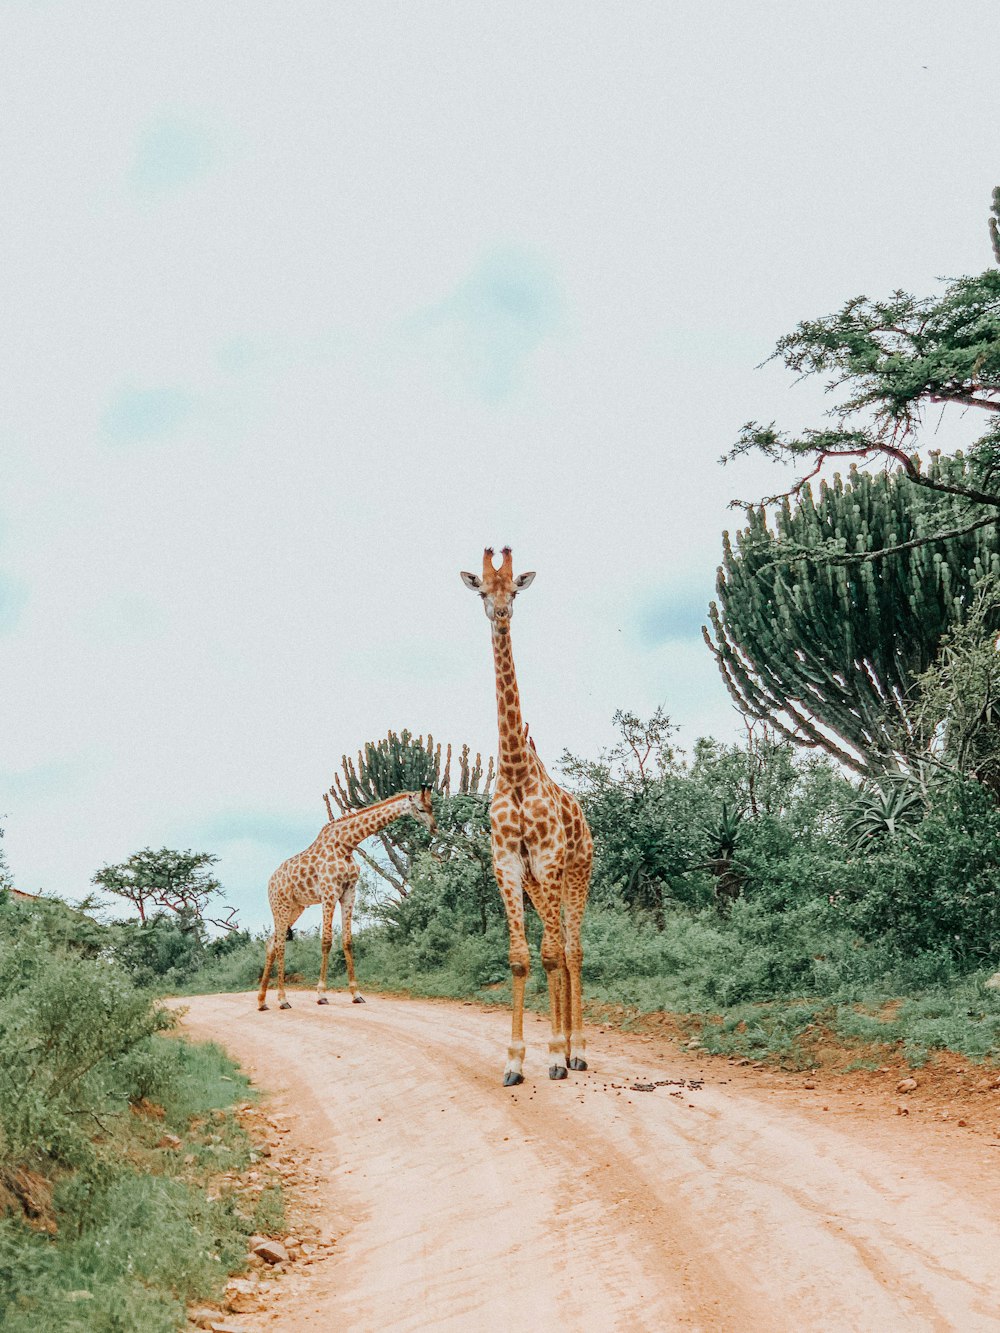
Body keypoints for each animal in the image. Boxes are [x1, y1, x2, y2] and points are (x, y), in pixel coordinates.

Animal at [256, 783, 437, 1002]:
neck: (346, 844)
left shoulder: (349, 893)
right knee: (280, 944)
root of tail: (270, 882)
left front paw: (356, 993)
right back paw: (282, 999)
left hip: (296, 907)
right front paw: (321, 993)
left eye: (432, 806)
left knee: (271, 942)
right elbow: (326, 941)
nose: (434, 828)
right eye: (420, 809)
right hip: (280, 905)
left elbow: (348, 941)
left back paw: (262, 1001)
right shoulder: (329, 893)